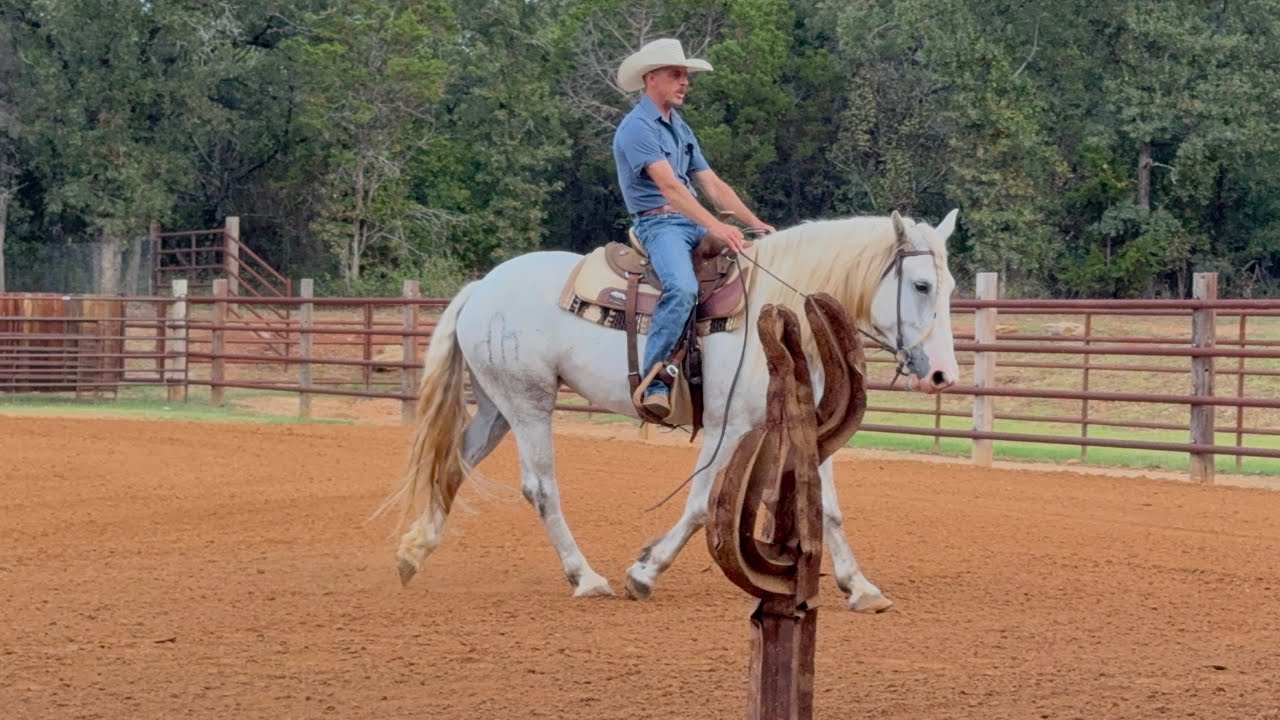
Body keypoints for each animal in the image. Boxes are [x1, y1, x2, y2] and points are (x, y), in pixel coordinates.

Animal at [376, 209, 960, 612]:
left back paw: (412, 553)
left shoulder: (809, 431)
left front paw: (861, 587)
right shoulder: (727, 429)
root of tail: (481, 288)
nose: (941, 375)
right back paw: (586, 578)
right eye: (922, 285)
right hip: (528, 403)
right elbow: (701, 506)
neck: (775, 319)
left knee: (453, 465)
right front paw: (645, 572)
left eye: (951, 286)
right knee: (540, 488)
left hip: (497, 406)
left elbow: (828, 508)